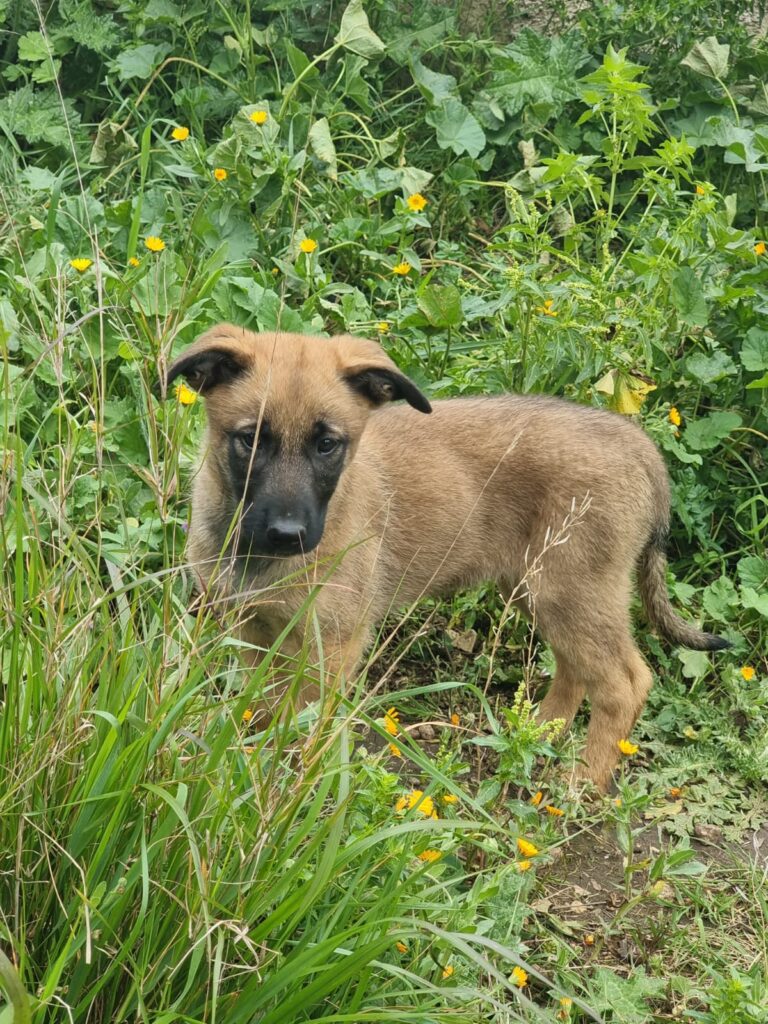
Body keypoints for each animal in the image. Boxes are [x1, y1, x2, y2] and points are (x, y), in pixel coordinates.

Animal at [166, 323, 729, 786]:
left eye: (328, 445)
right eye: (249, 440)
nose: (288, 535)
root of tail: (641, 446)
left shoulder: (335, 645)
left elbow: (304, 722)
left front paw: (288, 785)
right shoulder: (251, 628)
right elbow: (262, 704)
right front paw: (248, 758)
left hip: (572, 591)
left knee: (623, 683)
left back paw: (579, 786)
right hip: (540, 589)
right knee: (575, 666)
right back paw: (538, 734)